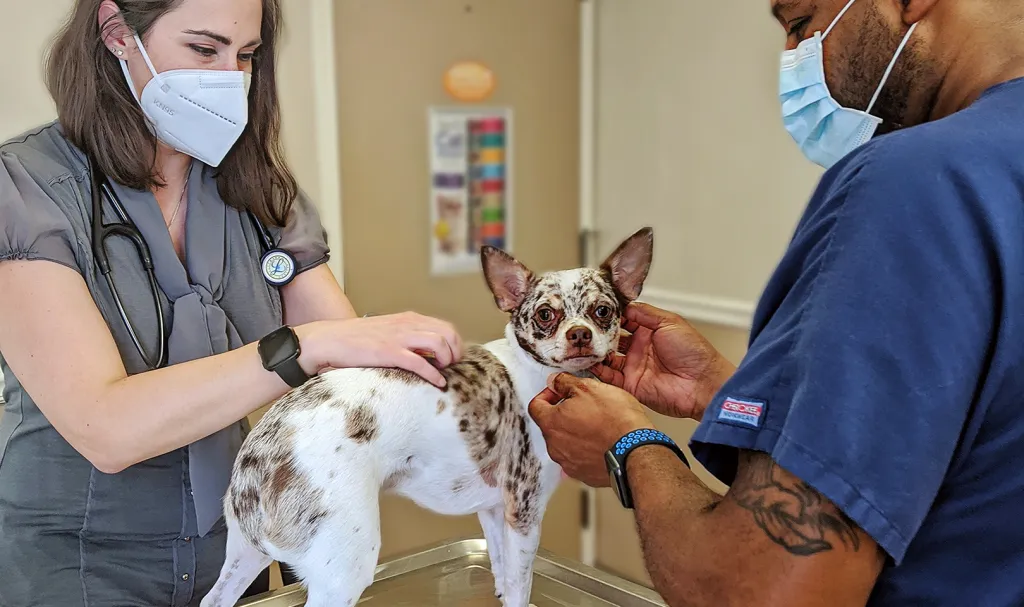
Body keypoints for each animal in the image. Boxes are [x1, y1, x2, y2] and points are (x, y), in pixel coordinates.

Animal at [199, 226, 655, 605]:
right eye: (546, 314)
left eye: (603, 311)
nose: (579, 335)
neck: (534, 371)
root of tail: (259, 454)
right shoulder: (523, 514)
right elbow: (520, 585)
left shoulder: (494, 512)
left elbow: (502, 574)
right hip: (344, 566)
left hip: (244, 555)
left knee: (213, 599)